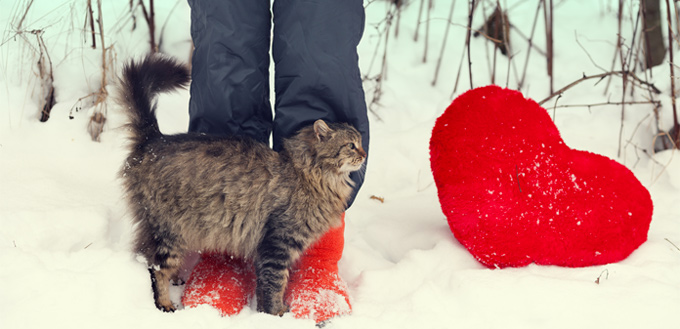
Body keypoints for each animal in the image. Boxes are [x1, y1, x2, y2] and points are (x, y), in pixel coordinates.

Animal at [115, 55, 366, 314]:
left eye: (360, 143)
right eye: (351, 145)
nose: (365, 154)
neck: (311, 174)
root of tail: (154, 140)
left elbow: (266, 286)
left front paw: (265, 310)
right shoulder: (277, 244)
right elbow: (276, 283)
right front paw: (276, 313)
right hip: (168, 231)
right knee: (155, 269)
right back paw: (165, 303)